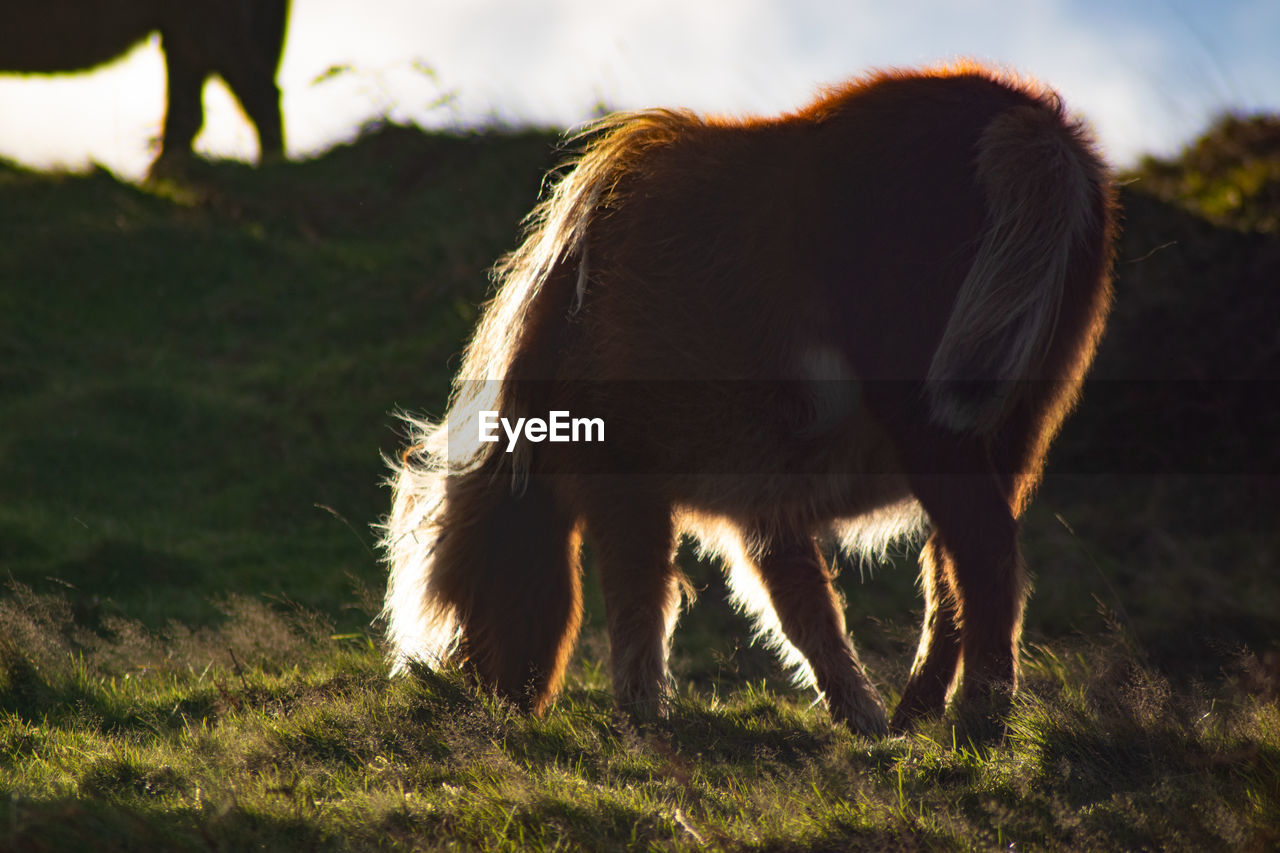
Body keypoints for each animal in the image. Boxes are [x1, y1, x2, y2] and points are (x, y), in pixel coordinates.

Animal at [376, 61, 1111, 737]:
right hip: (1011, 430)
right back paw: (916, 718)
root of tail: (1034, 127)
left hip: (934, 426)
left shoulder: (629, 487)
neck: (578, 316)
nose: (482, 707)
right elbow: (804, 615)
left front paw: (640, 717)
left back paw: (978, 723)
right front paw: (862, 723)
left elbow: (640, 600)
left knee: (983, 556)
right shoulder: (761, 509)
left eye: (468, 586)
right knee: (952, 574)